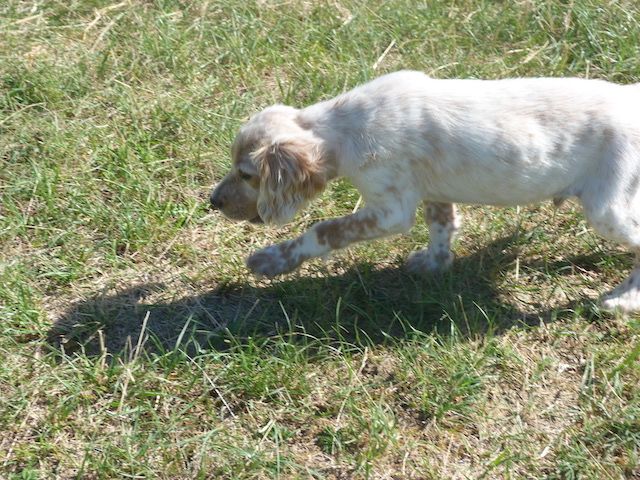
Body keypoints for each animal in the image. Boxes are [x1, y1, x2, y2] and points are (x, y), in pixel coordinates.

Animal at [211, 70, 640, 312]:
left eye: (246, 174)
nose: (212, 201)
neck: (341, 130)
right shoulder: (432, 187)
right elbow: (441, 223)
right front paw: (435, 263)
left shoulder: (390, 210)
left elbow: (323, 230)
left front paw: (272, 260)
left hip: (607, 208)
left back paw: (624, 300)